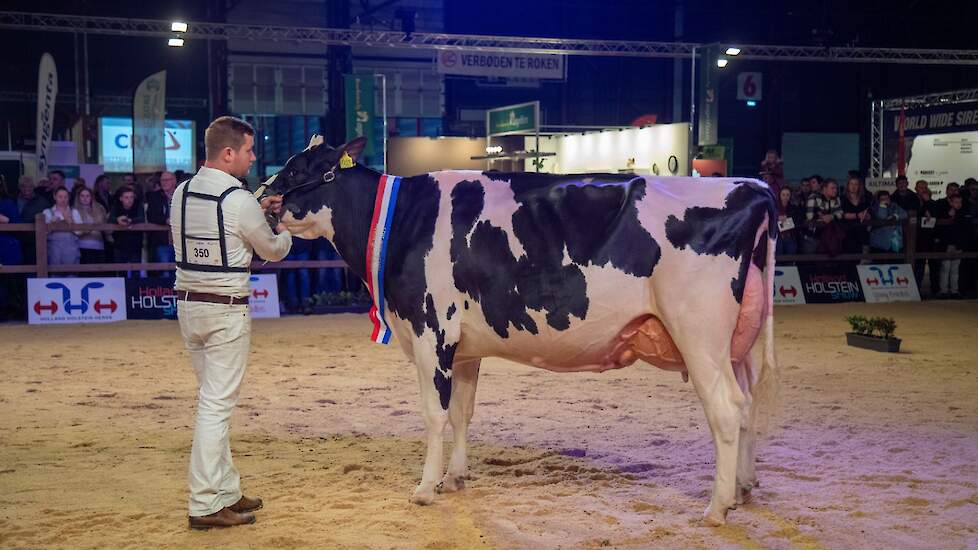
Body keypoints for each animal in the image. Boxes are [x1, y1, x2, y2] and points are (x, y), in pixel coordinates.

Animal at [262, 137, 776, 528]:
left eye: (300, 168)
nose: (264, 198)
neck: (402, 219)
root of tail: (750, 187)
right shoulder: (464, 349)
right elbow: (462, 413)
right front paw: (456, 478)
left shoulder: (431, 333)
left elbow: (434, 415)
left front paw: (426, 488)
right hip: (736, 346)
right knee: (750, 406)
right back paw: (743, 488)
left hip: (699, 334)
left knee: (727, 410)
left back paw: (716, 508)